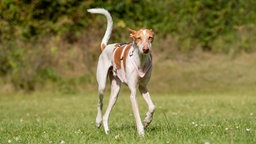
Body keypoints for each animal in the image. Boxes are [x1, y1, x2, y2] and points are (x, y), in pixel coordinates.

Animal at [88, 7, 155, 136]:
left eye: (150, 37)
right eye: (138, 38)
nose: (145, 49)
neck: (140, 60)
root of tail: (105, 47)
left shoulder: (143, 87)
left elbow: (152, 107)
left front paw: (147, 121)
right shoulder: (133, 94)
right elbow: (137, 115)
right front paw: (141, 132)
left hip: (115, 92)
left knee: (106, 115)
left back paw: (107, 131)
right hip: (102, 86)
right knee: (100, 103)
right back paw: (98, 121)